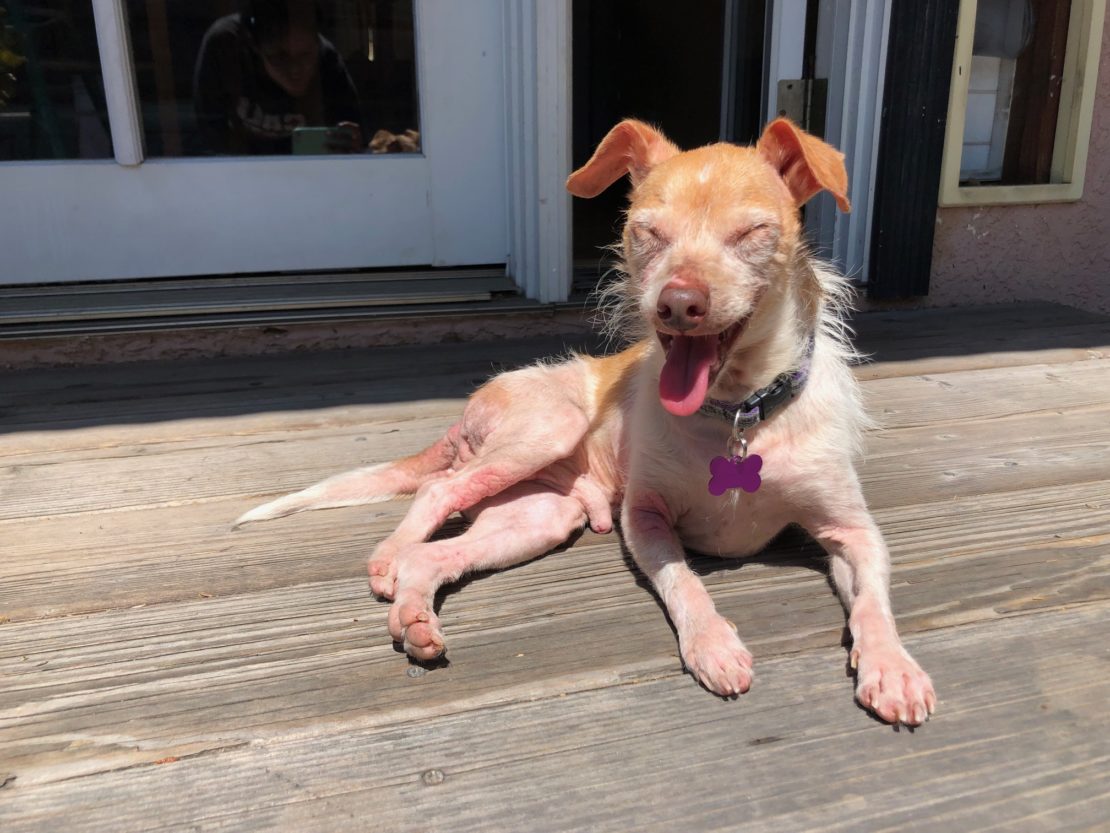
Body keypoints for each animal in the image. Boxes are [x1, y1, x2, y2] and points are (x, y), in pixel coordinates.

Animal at [236, 118, 936, 728]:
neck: (739, 414)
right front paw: (713, 643)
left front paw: (893, 666)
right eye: (646, 233)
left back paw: (415, 618)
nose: (677, 303)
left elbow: (874, 600)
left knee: (436, 556)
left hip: (540, 515)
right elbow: (685, 583)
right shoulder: (645, 520)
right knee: (436, 491)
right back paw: (388, 556)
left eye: (751, 232)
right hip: (548, 429)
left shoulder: (852, 532)